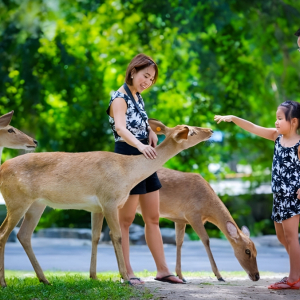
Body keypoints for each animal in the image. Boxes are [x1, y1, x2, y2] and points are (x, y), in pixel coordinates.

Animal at [0, 118, 213, 288]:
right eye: (191, 131)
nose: (210, 130)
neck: (128, 172)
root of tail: (2, 168)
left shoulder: (102, 206)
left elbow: (98, 236)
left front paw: (96, 277)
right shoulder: (109, 199)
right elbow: (117, 236)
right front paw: (126, 278)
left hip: (37, 204)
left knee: (23, 235)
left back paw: (44, 280)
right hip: (16, 200)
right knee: (4, 234)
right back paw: (4, 283)